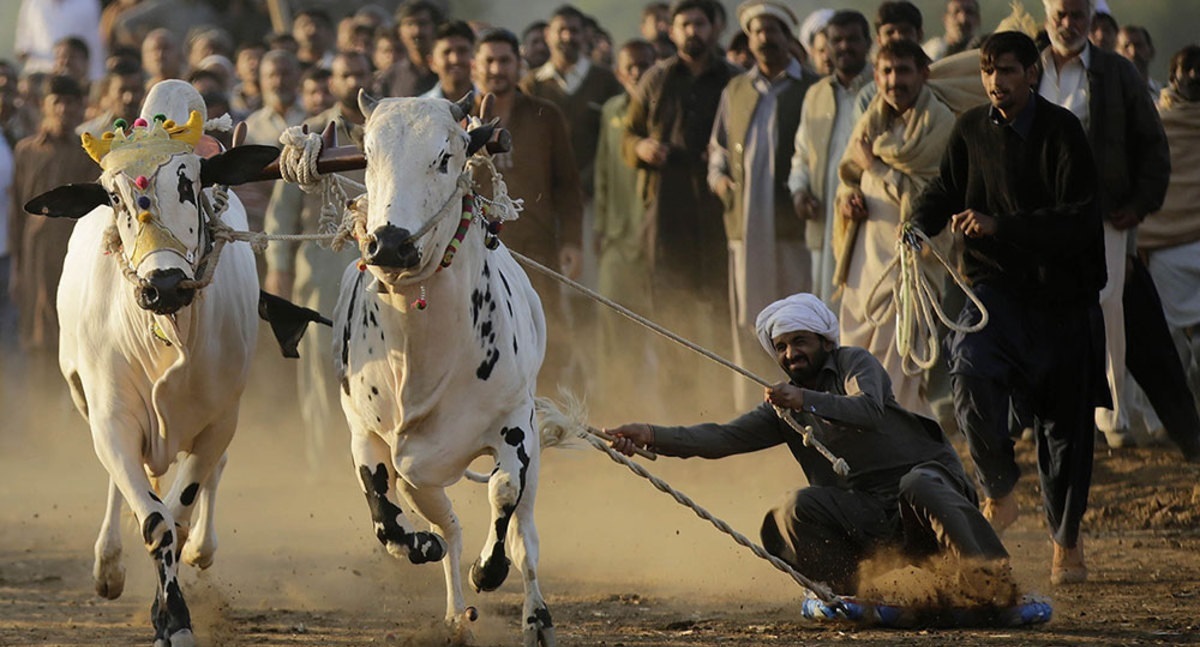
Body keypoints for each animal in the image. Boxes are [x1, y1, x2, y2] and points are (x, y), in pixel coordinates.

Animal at [25, 82, 278, 647]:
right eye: (115, 198)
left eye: (190, 184)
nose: (162, 286)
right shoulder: (111, 418)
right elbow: (153, 519)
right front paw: (171, 618)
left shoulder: (219, 420)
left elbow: (179, 514)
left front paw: (172, 608)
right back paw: (109, 564)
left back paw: (202, 547)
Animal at [333, 93, 556, 643]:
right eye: (367, 156)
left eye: (444, 157)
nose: (389, 243)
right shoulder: (366, 435)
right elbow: (385, 515)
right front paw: (419, 546)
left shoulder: (515, 426)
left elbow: (503, 493)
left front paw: (488, 570)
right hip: (422, 477)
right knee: (449, 525)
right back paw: (457, 613)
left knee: (526, 540)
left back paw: (535, 616)